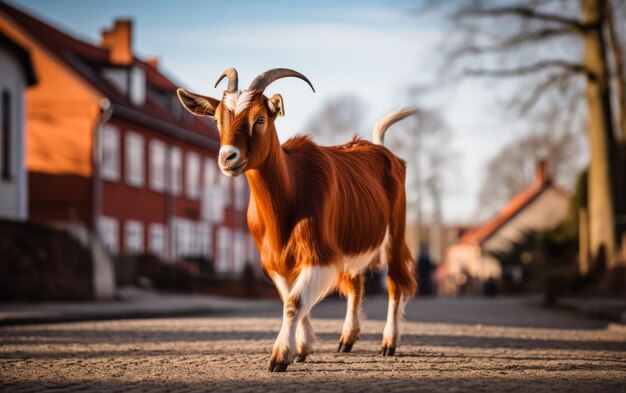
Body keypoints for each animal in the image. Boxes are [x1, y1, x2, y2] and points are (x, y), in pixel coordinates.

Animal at [176, 69, 416, 372]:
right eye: (217, 120)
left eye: (260, 119)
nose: (227, 156)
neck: (290, 194)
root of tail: (380, 147)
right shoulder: (276, 259)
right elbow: (291, 299)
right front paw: (301, 348)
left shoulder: (319, 253)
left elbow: (294, 302)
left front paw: (279, 356)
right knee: (356, 284)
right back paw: (347, 338)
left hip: (395, 231)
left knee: (395, 283)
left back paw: (389, 342)